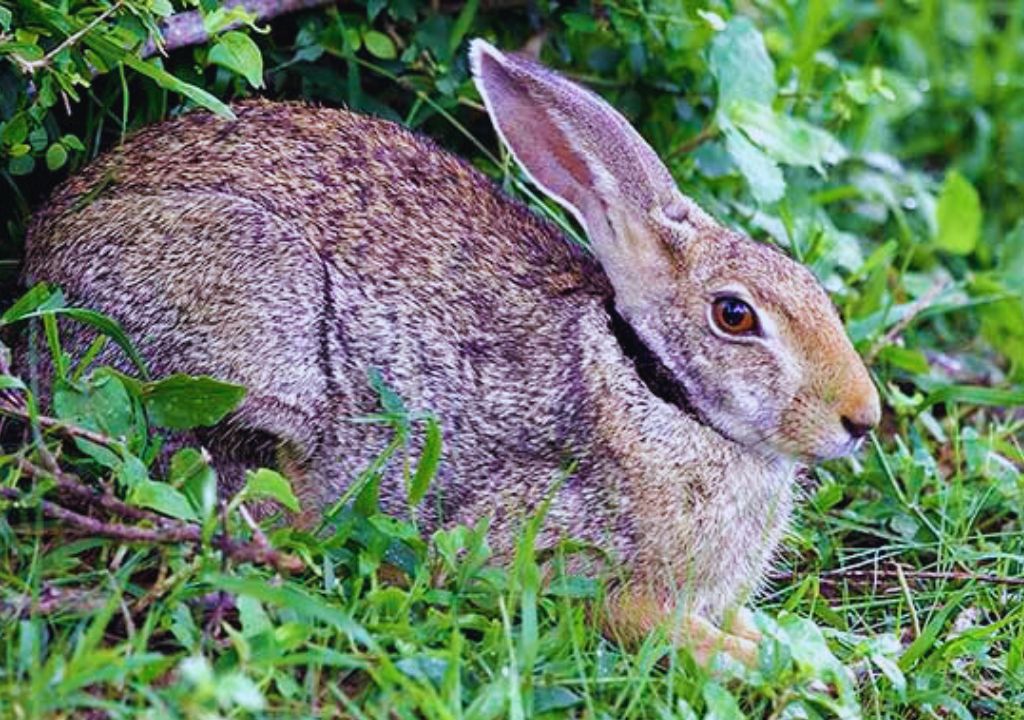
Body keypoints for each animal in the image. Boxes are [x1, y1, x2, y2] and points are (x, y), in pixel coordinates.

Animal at [20, 39, 880, 665]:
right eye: (735, 316)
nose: (862, 418)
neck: (649, 385)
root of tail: (42, 251)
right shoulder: (544, 544)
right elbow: (629, 614)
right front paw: (753, 661)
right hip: (259, 318)